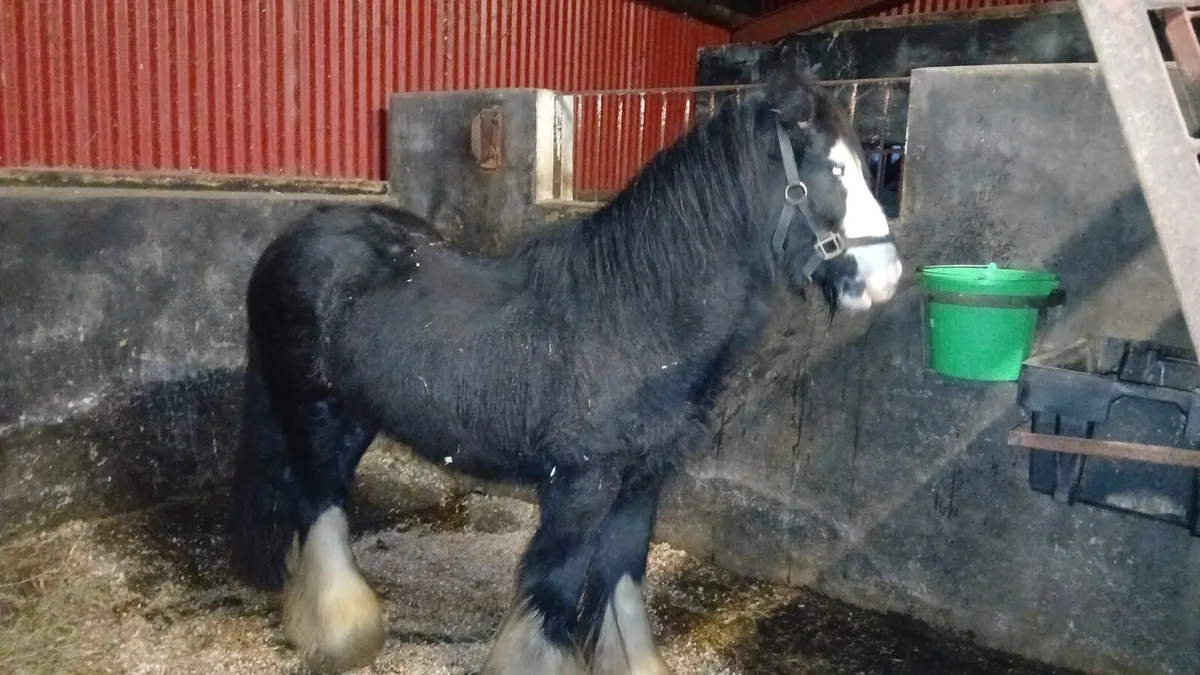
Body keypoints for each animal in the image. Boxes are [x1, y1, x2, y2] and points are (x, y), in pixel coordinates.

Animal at [227, 64, 903, 675]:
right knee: (319, 505)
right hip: (314, 410)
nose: (887, 277)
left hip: (354, 418)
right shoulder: (581, 485)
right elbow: (553, 594)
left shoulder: (641, 482)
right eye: (833, 170)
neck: (636, 314)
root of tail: (294, 236)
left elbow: (620, 585)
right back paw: (341, 636)